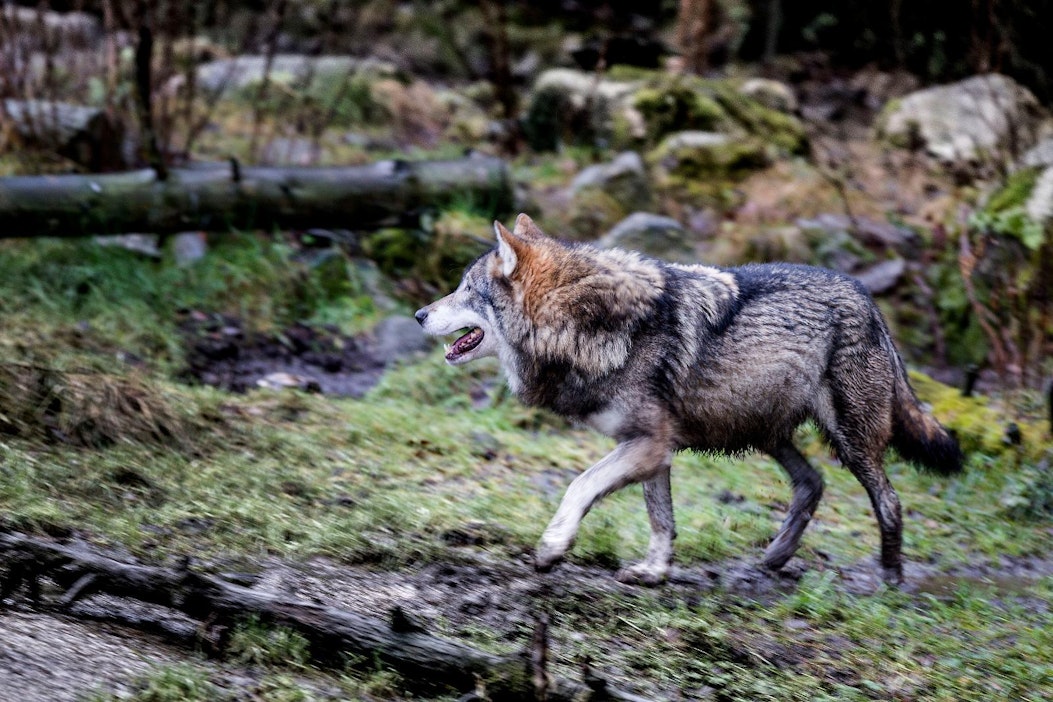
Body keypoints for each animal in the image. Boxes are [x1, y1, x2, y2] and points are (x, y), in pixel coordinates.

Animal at [412, 215, 964, 589]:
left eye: (465, 289)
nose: (419, 314)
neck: (584, 322)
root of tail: (868, 299)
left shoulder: (649, 444)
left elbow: (578, 485)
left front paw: (551, 548)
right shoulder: (651, 447)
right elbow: (662, 520)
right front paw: (655, 572)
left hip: (848, 441)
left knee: (889, 501)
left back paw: (890, 576)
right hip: (767, 434)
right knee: (812, 484)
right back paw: (774, 559)